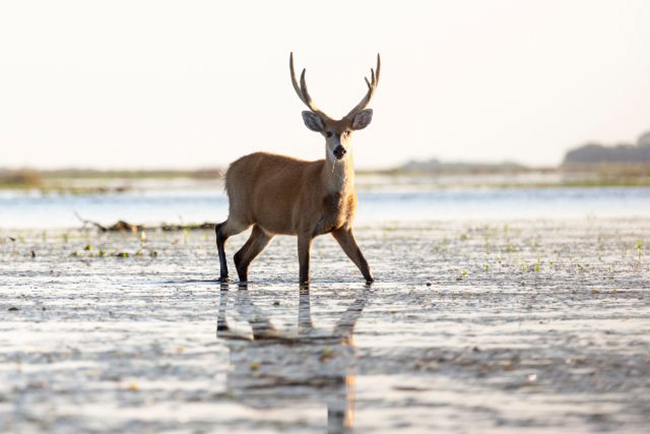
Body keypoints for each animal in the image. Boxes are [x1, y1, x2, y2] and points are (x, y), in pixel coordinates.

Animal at [215, 52, 378, 284]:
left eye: (349, 131)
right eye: (328, 132)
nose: (339, 150)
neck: (333, 195)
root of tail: (228, 170)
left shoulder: (344, 228)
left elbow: (366, 267)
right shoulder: (303, 225)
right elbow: (304, 274)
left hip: (265, 227)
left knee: (241, 257)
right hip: (240, 210)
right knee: (219, 229)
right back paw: (223, 275)